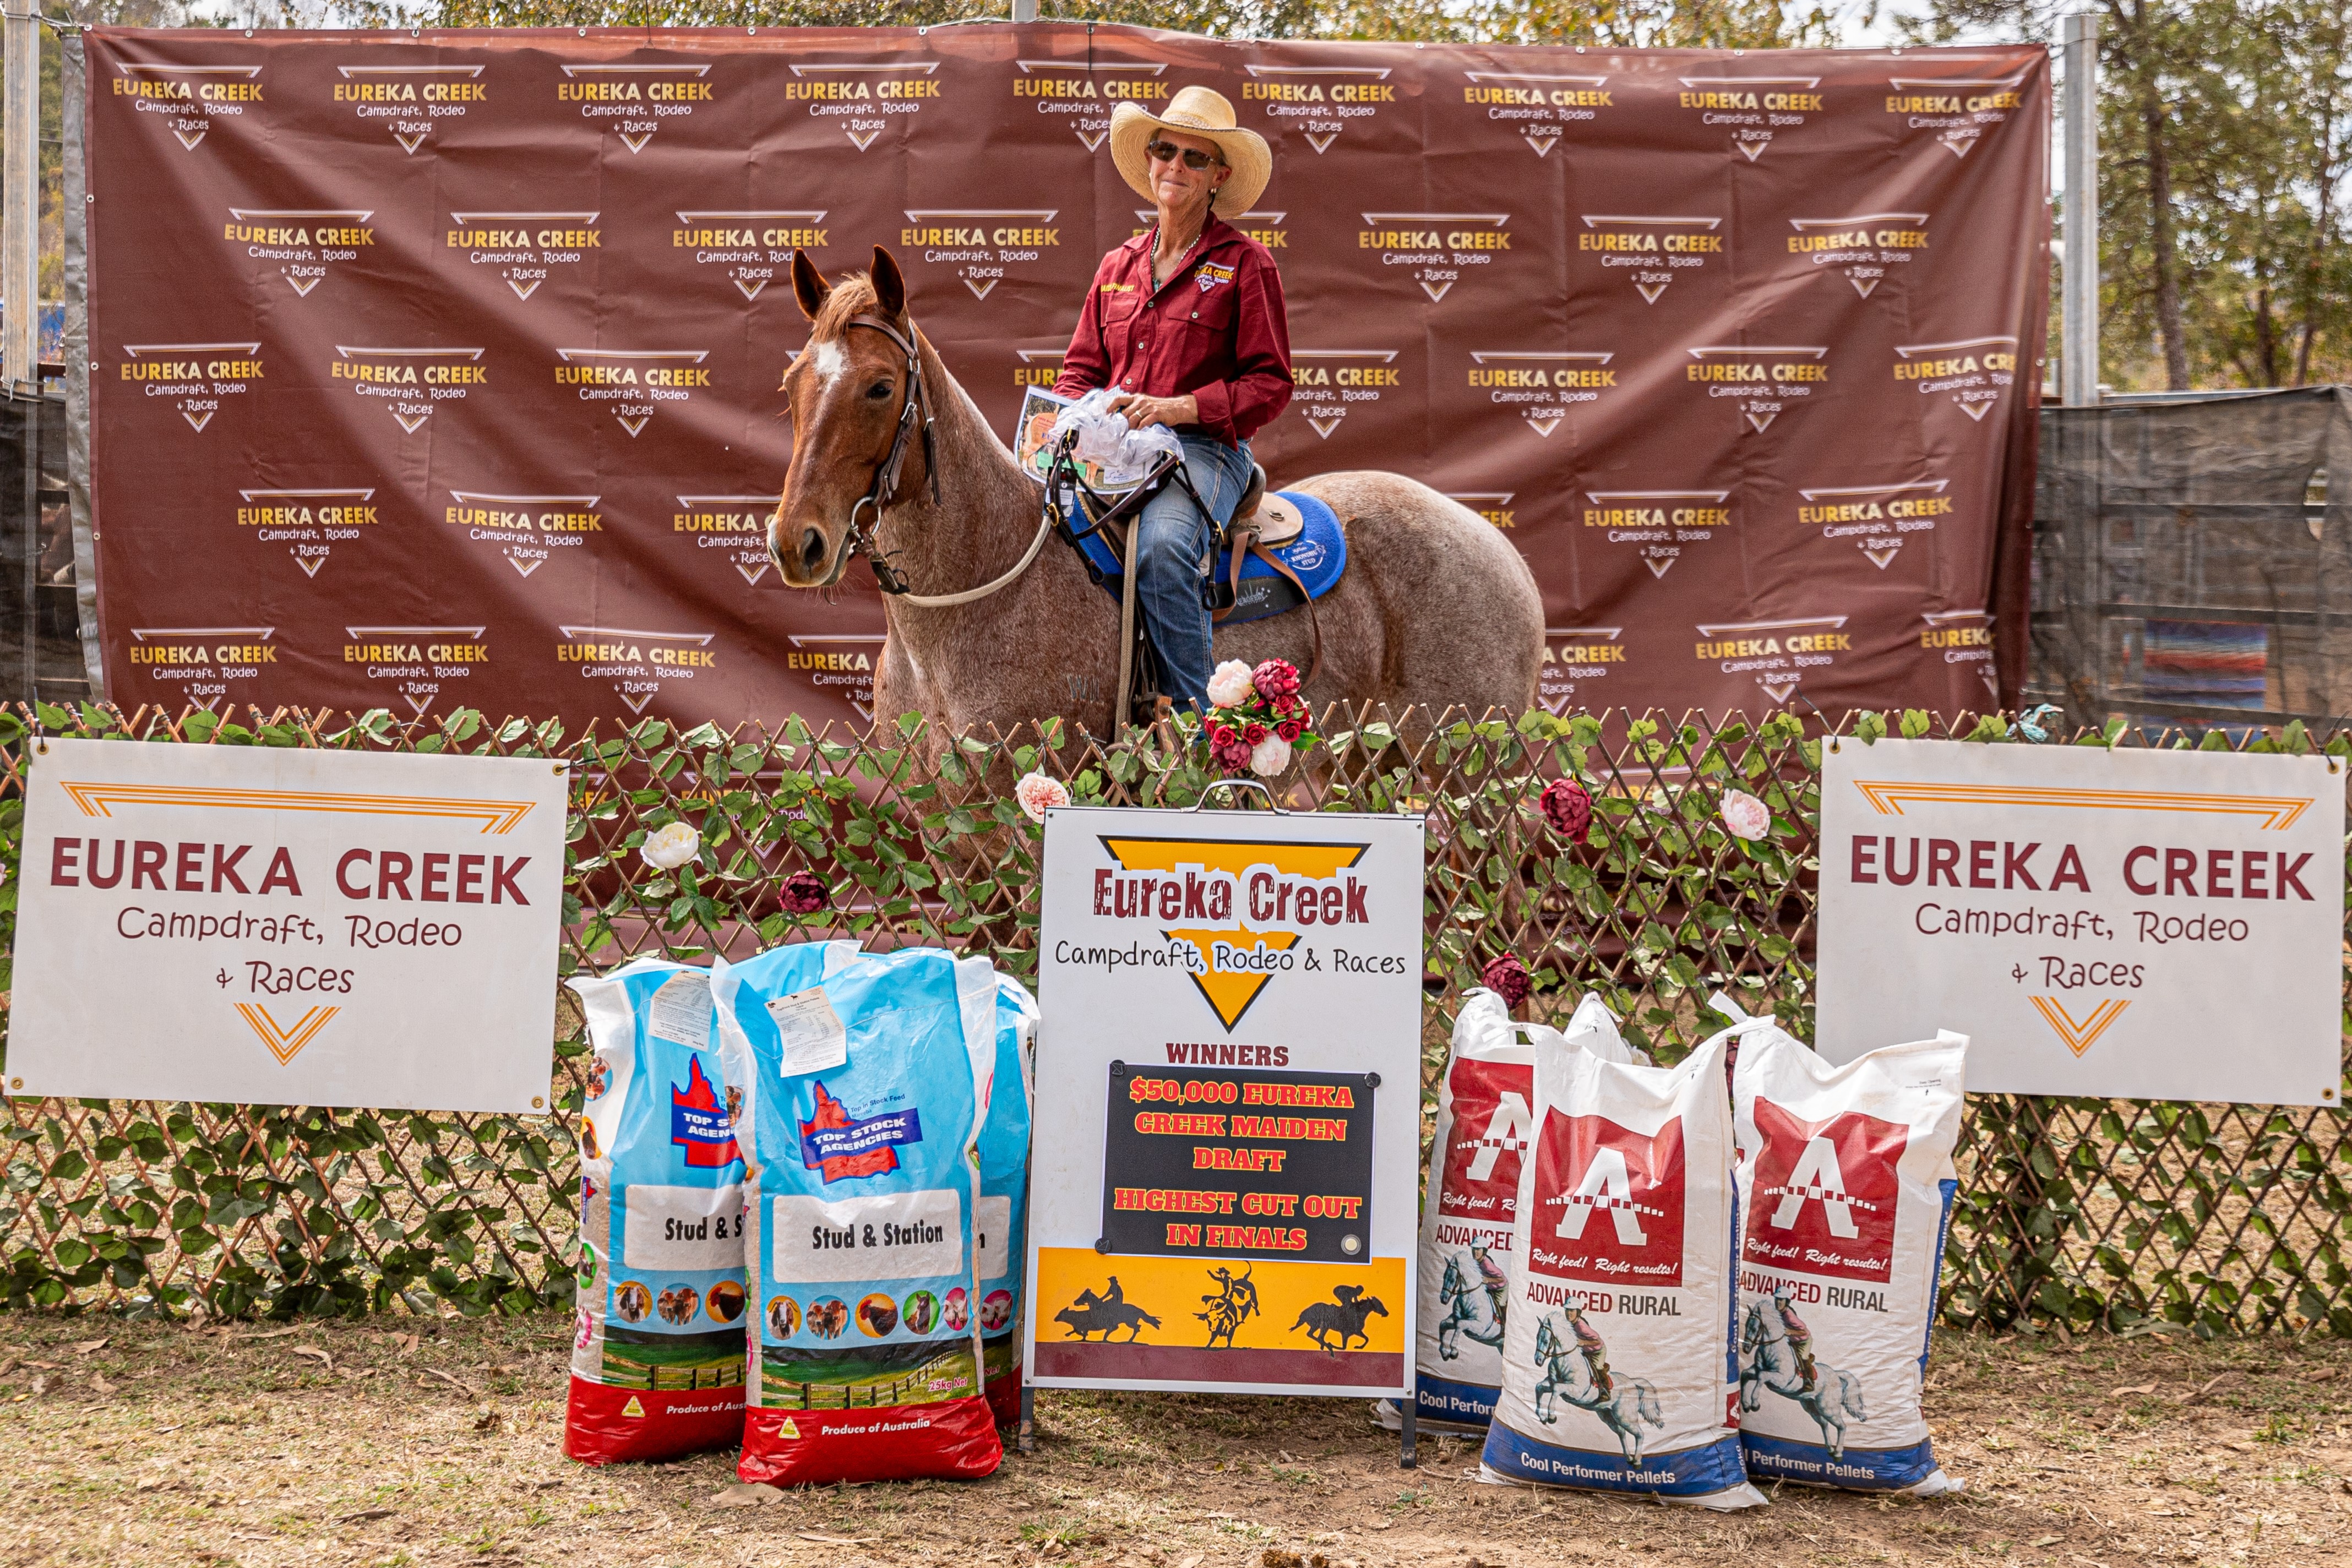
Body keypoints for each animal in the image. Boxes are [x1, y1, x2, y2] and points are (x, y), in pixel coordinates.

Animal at [1290, 1284, 1388, 1356]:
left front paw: (1358, 1347)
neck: (1359, 1312)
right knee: (1318, 1337)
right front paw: (1331, 1345)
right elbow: (1344, 1347)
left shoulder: (1356, 1331)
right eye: (1378, 1304)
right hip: (1322, 1325)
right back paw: (1328, 1347)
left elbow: (1366, 1339)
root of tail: (1304, 1313)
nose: (1387, 1313)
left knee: (1313, 1335)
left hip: (1320, 1326)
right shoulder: (1346, 1333)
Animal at [1435, 1252, 1505, 1361]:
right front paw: (1445, 1353)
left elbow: (1460, 1324)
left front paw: (1454, 1352)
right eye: (1444, 1277)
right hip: (1500, 1347)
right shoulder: (1454, 1319)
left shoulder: (1480, 1328)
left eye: (1452, 1280)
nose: (1443, 1299)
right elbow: (1443, 1324)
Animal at [1530, 1313, 1665, 1469]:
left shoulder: (1576, 1391)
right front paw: (1542, 1417)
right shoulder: (1550, 1384)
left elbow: (1557, 1389)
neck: (1565, 1361)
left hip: (1625, 1417)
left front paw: (1552, 1417)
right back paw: (1629, 1458)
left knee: (1640, 1434)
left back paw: (1637, 1461)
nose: (1538, 1360)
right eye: (1537, 1338)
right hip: (1607, 1415)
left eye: (1546, 1340)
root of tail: (1632, 1382)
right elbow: (1539, 1387)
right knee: (1622, 1432)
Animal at [1739, 1300, 1869, 1460]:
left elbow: (1762, 1377)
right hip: (1810, 1406)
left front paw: (1755, 1404)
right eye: (1746, 1325)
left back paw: (1838, 1453)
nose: (1746, 1348)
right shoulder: (1756, 1371)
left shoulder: (1781, 1380)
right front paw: (1746, 1405)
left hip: (1828, 1408)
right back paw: (1830, 1449)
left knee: (1842, 1426)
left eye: (1754, 1327)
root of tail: (1836, 1375)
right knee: (1824, 1424)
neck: (1772, 1348)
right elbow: (1746, 1374)